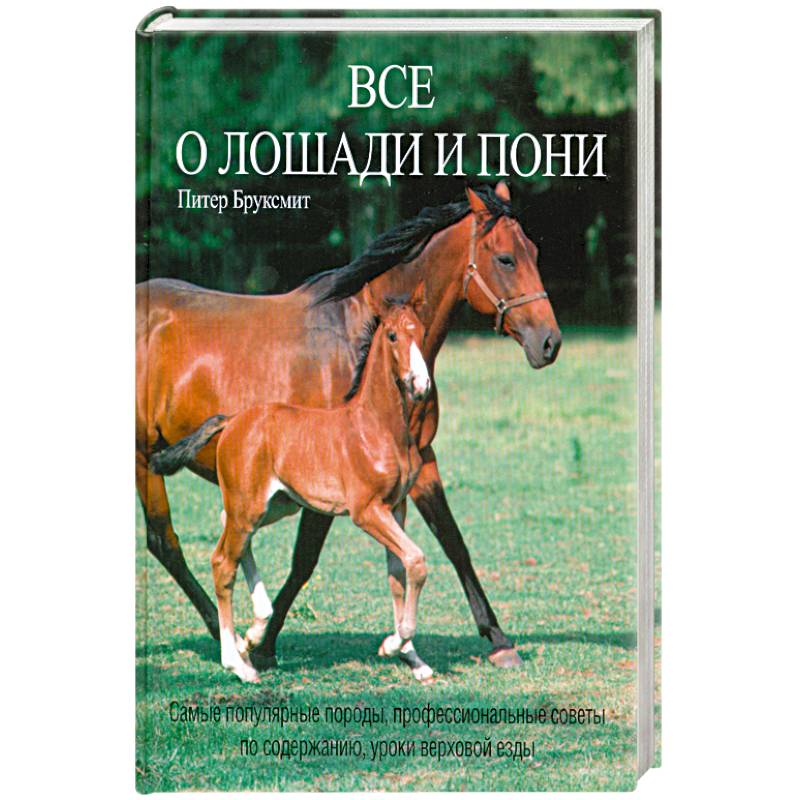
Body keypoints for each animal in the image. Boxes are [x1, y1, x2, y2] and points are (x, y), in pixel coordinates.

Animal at [149, 299, 432, 683]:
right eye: (392, 336)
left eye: (422, 332)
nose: (421, 384)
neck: (375, 427)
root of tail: (233, 420)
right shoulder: (367, 511)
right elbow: (415, 561)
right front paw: (393, 645)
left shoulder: (396, 506)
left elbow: (397, 575)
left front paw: (413, 659)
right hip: (251, 506)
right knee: (222, 562)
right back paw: (238, 663)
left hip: (274, 505)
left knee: (229, 531)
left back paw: (251, 637)